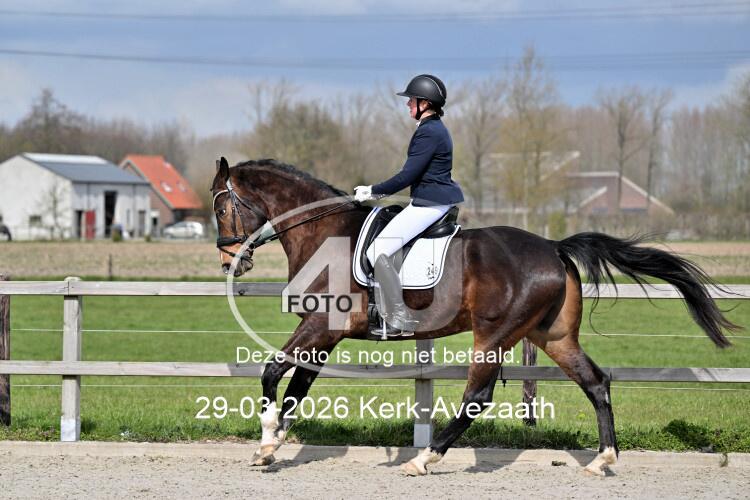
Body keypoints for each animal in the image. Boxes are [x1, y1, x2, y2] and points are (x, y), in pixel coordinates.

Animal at [210, 157, 740, 476]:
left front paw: (266, 439)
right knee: (595, 381)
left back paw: (424, 459)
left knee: (477, 397)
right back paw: (602, 460)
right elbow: (297, 386)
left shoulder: (322, 326)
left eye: (219, 206)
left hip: (493, 335)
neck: (324, 232)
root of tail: (553, 247)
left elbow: (273, 372)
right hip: (553, 336)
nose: (229, 259)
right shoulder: (325, 333)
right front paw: (272, 445)